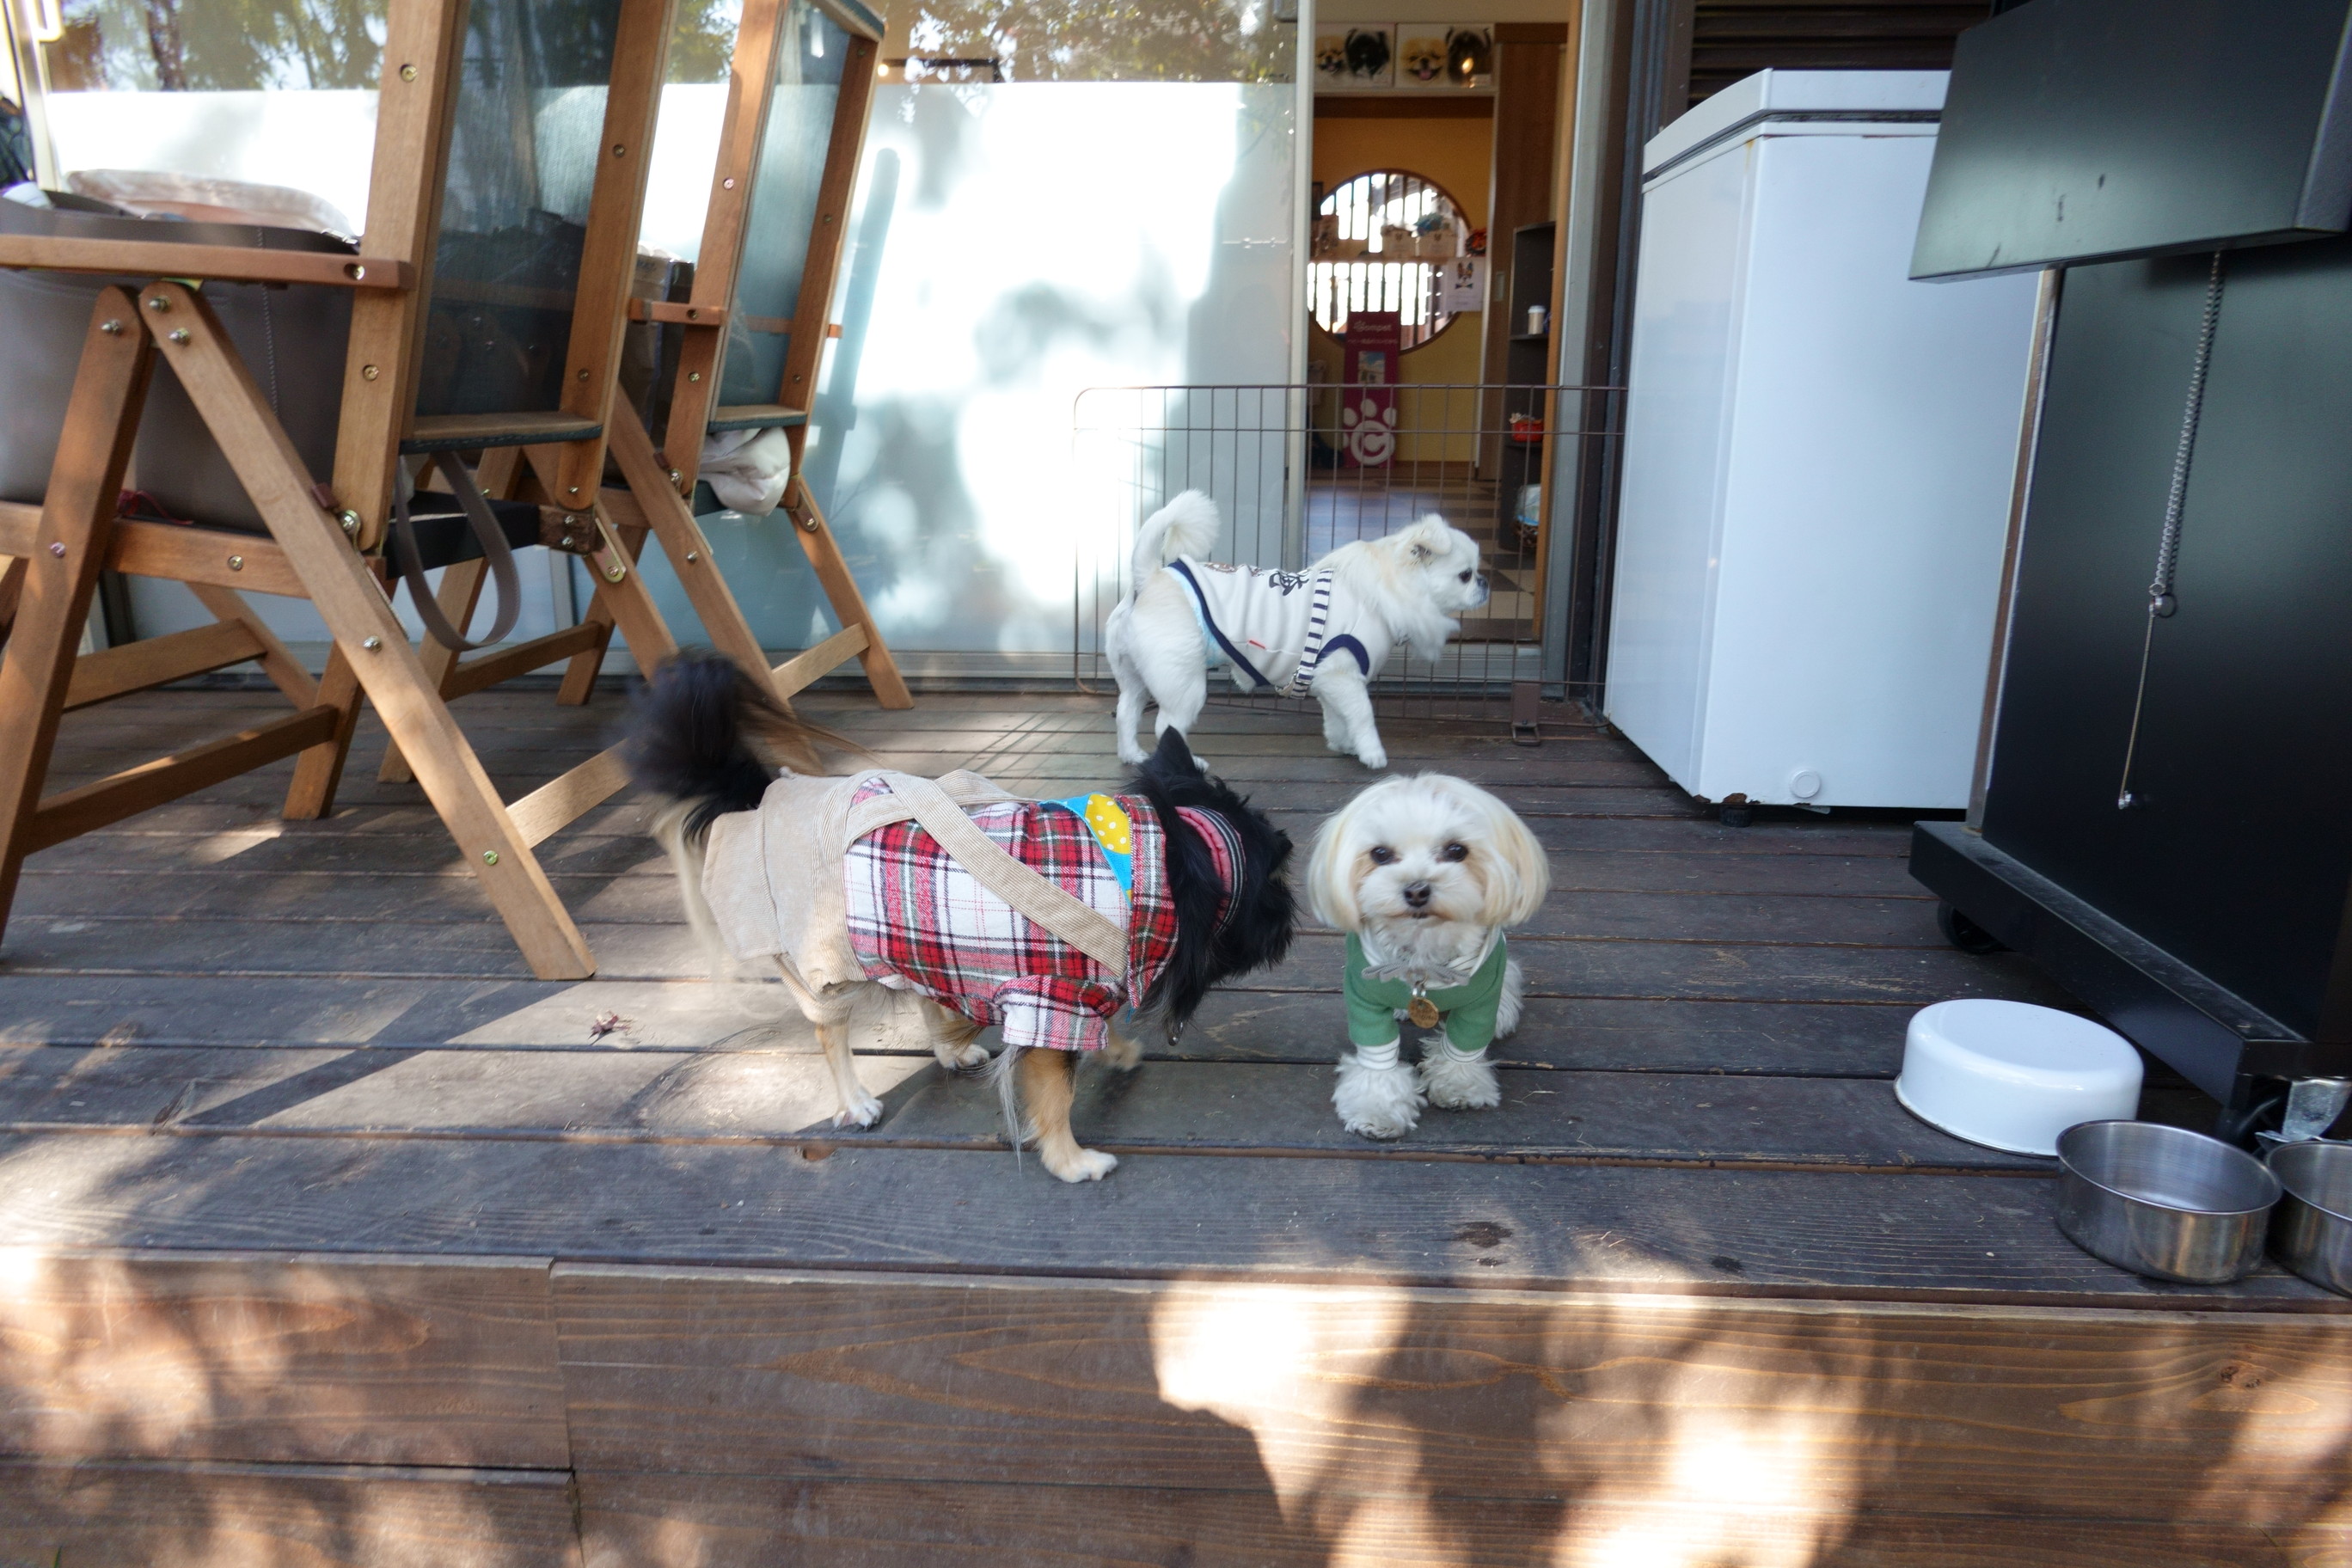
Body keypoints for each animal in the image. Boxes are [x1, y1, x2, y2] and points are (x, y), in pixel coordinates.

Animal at [1105, 484, 1486, 766]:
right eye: (1465, 575)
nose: (1485, 583)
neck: (1386, 591)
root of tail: (1149, 578)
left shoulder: (1329, 680)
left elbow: (1337, 718)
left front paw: (1345, 745)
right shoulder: (1344, 675)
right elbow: (1363, 714)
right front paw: (1372, 753)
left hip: (1135, 679)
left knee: (1125, 714)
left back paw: (1132, 756)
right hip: (1185, 684)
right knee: (1166, 725)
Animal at [1317, 775, 1552, 1133]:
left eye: (1457, 850)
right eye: (1380, 854)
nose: (1416, 889)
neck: (1423, 957)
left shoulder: (1481, 999)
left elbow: (1464, 1045)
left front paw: (1460, 1086)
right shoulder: (1364, 1000)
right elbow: (1377, 1057)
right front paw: (1377, 1109)